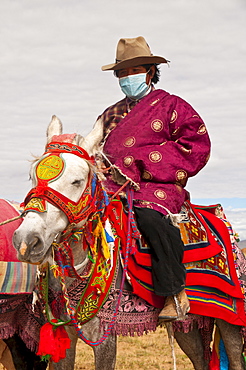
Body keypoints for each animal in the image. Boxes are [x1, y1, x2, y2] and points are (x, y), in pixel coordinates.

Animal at [12, 116, 245, 370]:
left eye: (77, 181)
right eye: (33, 176)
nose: (26, 241)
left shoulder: (104, 336)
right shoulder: (65, 334)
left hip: (230, 321)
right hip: (188, 325)